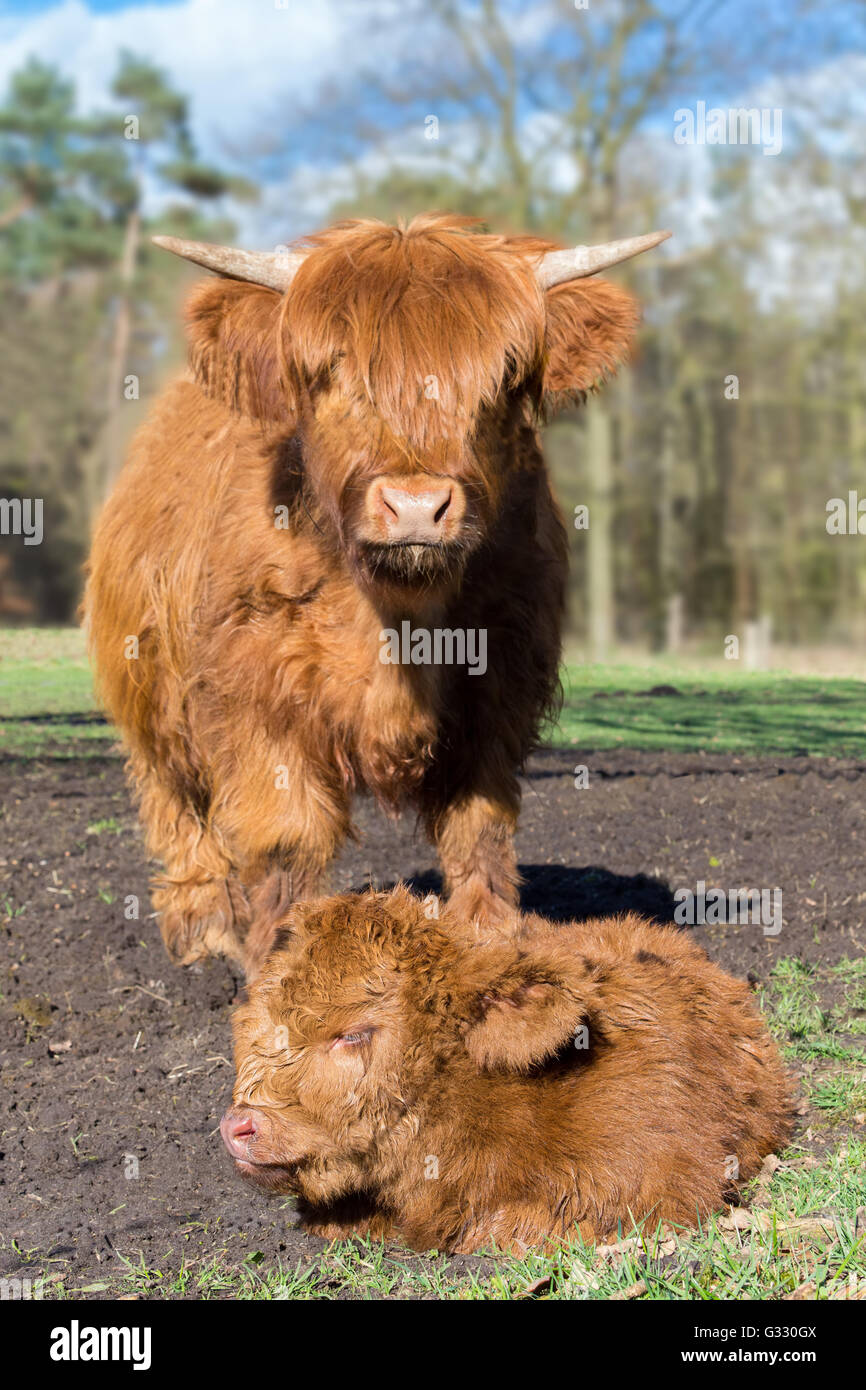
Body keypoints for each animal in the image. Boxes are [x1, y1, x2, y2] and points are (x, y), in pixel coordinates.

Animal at [86, 214, 670, 967]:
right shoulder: (259, 695)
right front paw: (283, 962)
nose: (417, 506)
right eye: (334, 374)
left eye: (505, 377)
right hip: (145, 688)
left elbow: (480, 827)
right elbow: (288, 839)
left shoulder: (499, 683)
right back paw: (204, 924)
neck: (397, 614)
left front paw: (487, 941)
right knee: (175, 800)